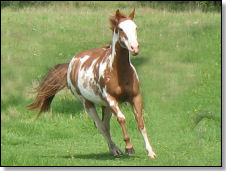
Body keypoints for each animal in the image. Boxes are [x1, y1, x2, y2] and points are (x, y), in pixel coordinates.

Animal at [27, 9, 156, 159]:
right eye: (120, 29)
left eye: (136, 27)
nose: (134, 48)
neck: (119, 72)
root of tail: (71, 63)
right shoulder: (111, 100)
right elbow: (122, 119)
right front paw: (129, 147)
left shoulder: (135, 97)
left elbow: (140, 122)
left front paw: (151, 152)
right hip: (87, 103)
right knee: (101, 126)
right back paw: (116, 150)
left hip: (105, 106)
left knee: (105, 125)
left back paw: (114, 150)